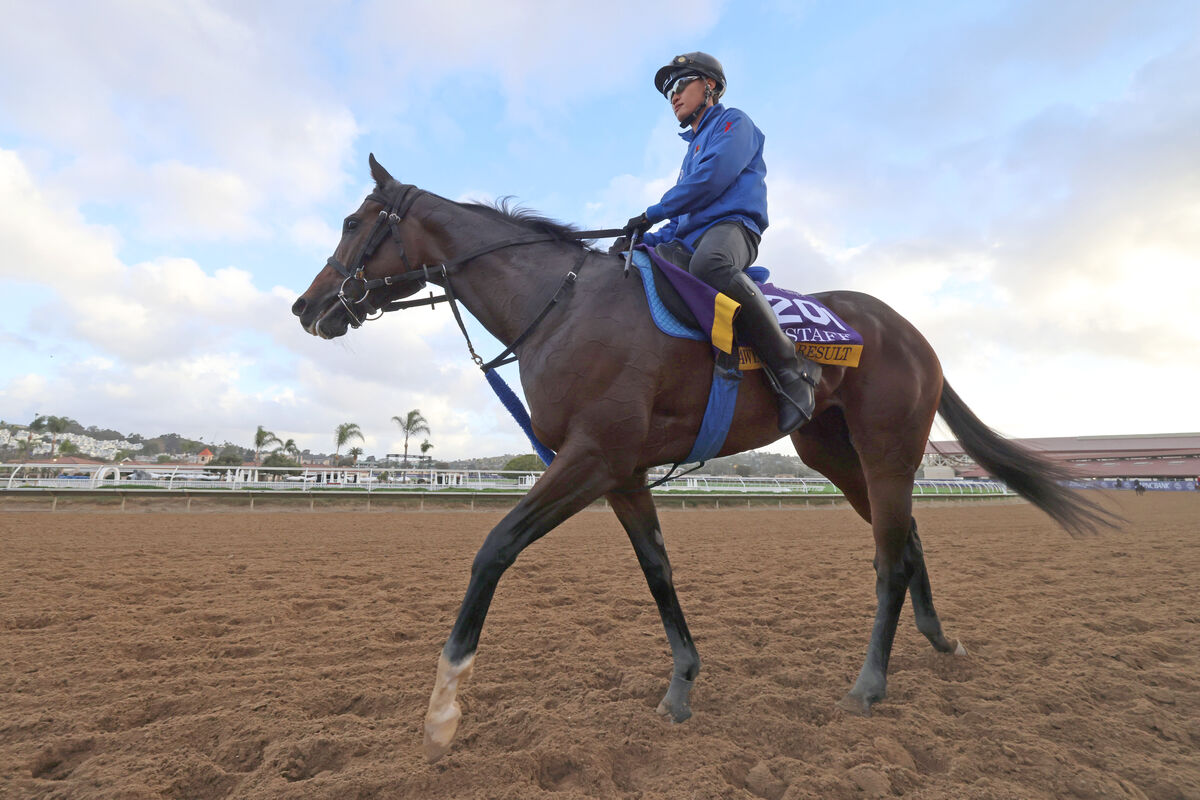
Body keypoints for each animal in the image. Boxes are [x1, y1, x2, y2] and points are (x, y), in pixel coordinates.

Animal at [292, 154, 1113, 762]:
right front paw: (682, 683)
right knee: (908, 543)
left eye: (353, 222)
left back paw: (870, 683)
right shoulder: (621, 472)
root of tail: (913, 332)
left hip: (886, 454)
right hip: (834, 455)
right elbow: (657, 569)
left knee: (888, 560)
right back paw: (939, 639)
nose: (306, 307)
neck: (560, 306)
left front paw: (442, 711)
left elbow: (494, 548)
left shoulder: (589, 458)